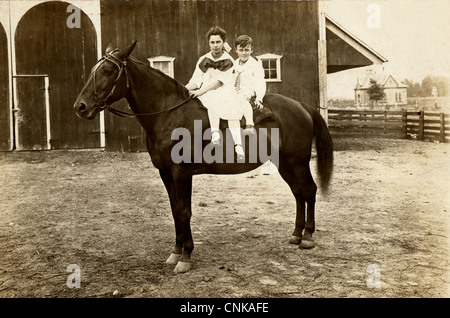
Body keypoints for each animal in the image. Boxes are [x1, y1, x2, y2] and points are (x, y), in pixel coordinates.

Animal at [74, 41, 332, 272]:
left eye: (108, 71)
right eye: (93, 70)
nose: (81, 107)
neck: (169, 115)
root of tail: (302, 106)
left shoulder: (181, 173)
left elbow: (184, 211)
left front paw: (186, 257)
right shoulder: (166, 173)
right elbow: (175, 210)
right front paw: (175, 252)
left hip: (297, 162)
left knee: (308, 190)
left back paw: (308, 236)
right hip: (285, 164)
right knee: (298, 193)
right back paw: (296, 234)